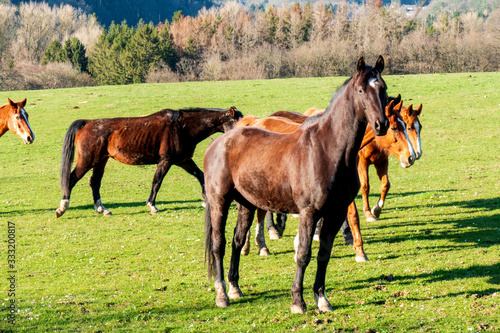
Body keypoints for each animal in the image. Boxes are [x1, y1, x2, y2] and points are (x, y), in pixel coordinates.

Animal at [54, 105, 242, 217]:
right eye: (236, 121)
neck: (182, 127)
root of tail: (87, 123)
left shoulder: (184, 161)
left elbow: (201, 176)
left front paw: (205, 200)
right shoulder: (166, 161)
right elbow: (157, 182)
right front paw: (152, 205)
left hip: (100, 161)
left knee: (94, 183)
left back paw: (102, 209)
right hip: (87, 161)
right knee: (71, 179)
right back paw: (62, 207)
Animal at [204, 55, 390, 312]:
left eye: (383, 88)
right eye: (361, 90)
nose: (381, 124)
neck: (328, 149)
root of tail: (218, 143)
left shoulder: (336, 212)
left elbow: (324, 254)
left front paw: (322, 298)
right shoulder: (309, 212)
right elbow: (303, 253)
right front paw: (297, 301)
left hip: (247, 204)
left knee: (237, 241)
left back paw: (234, 287)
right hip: (219, 202)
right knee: (219, 244)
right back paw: (221, 293)